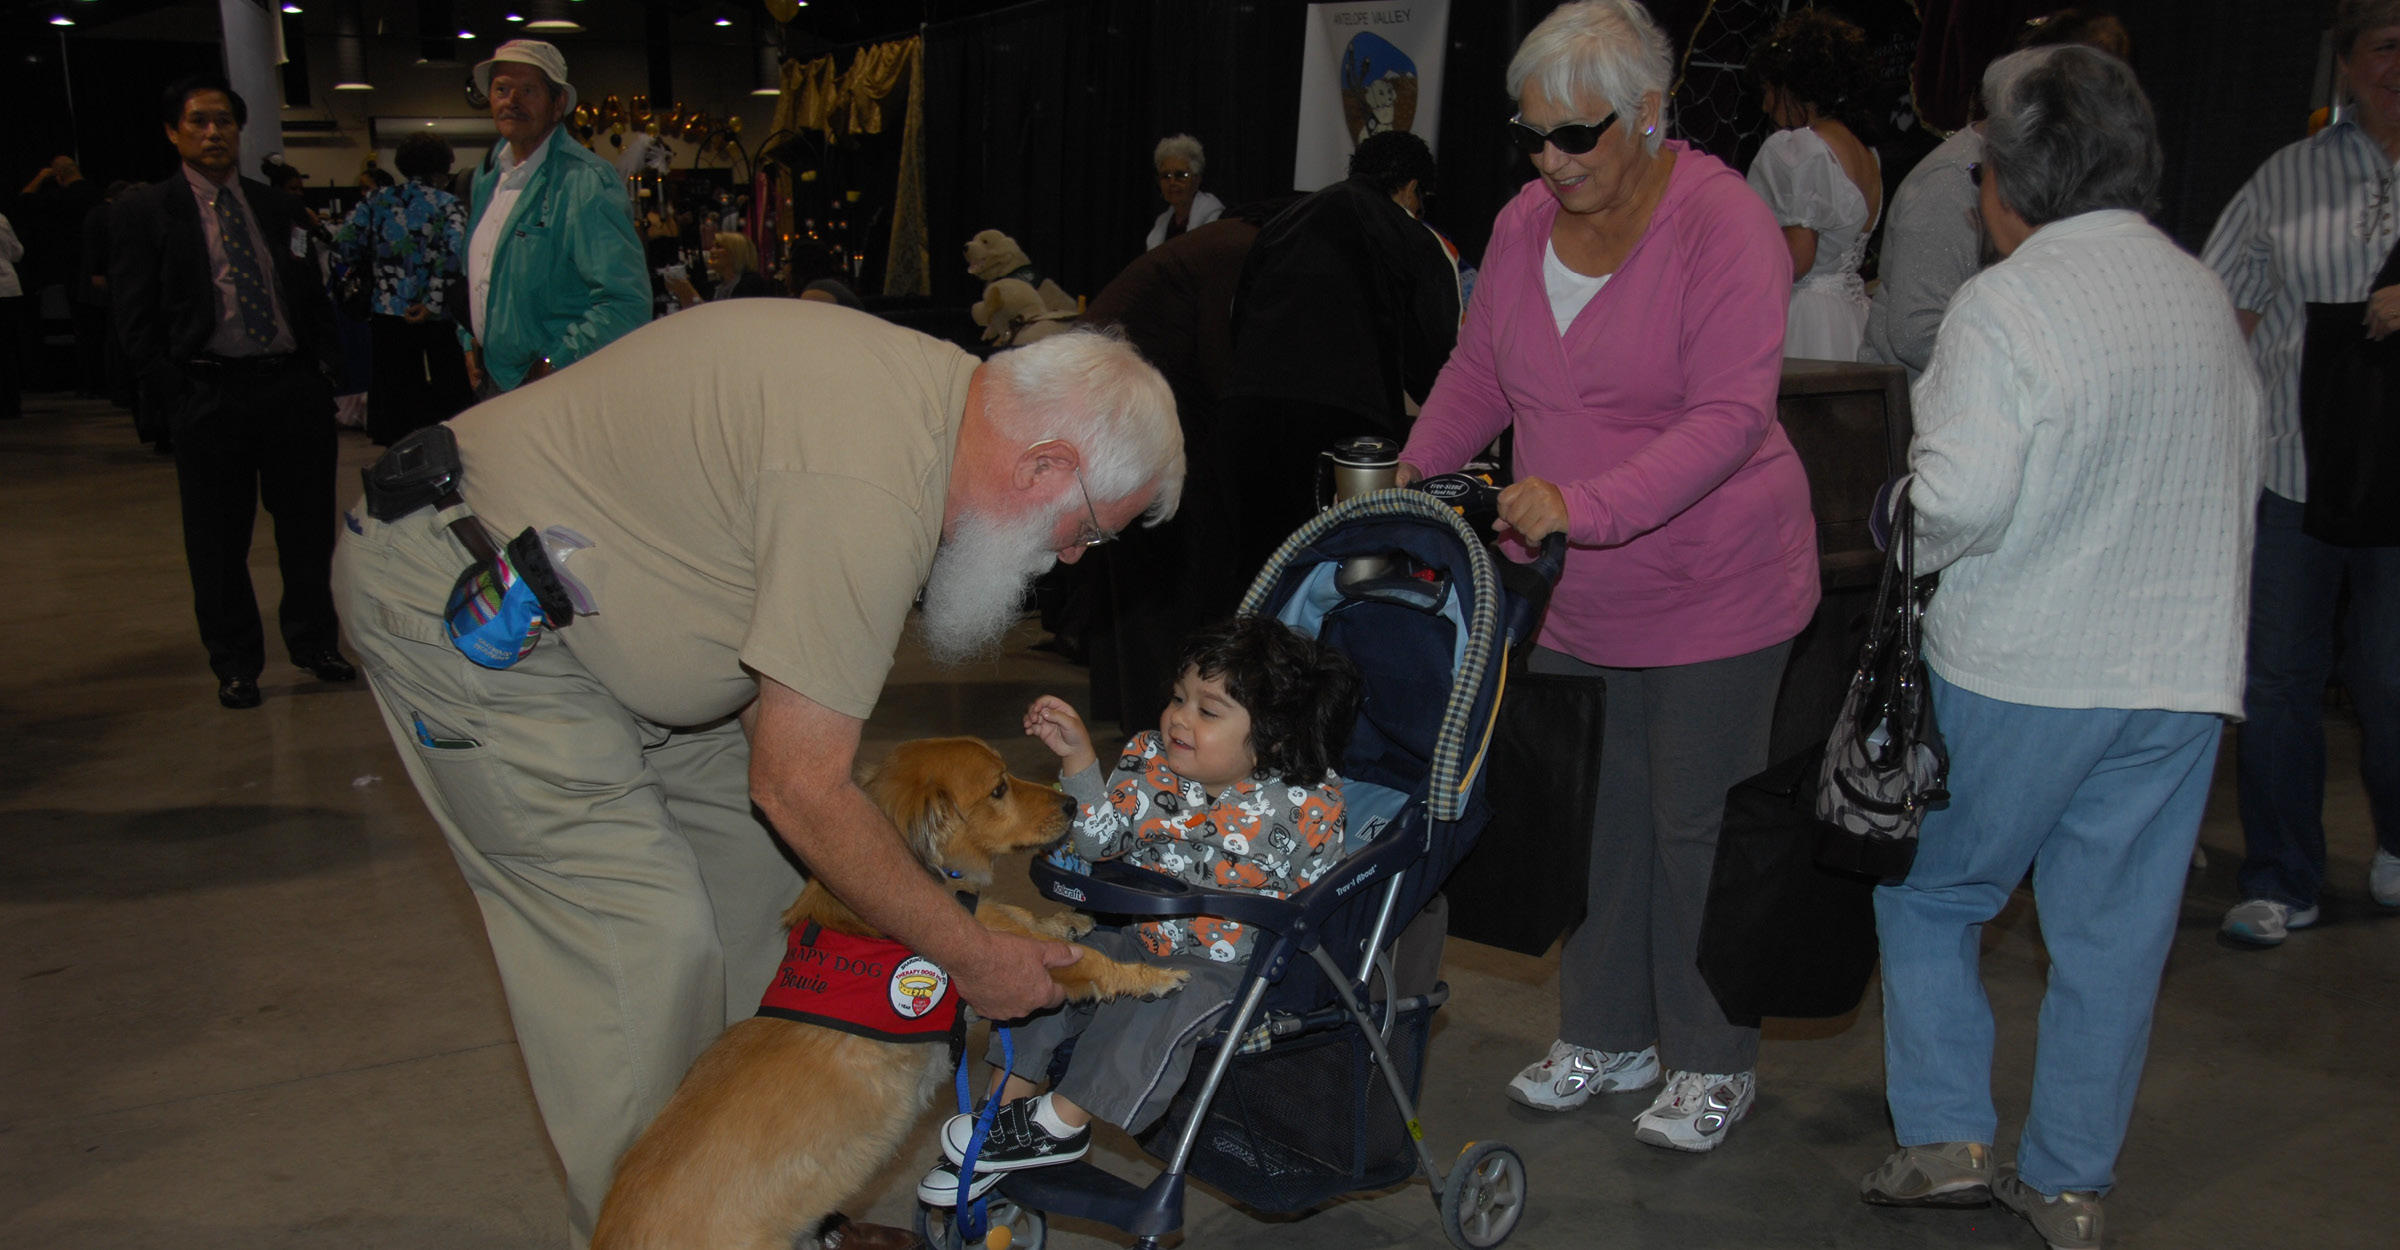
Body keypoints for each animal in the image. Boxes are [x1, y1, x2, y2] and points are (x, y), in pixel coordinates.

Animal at [585, 734, 1176, 1238]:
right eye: (999, 788)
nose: (1074, 805)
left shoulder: (995, 926)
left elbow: (1024, 916)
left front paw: (1070, 920)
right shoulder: (1004, 967)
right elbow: (1087, 962)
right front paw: (1153, 977)